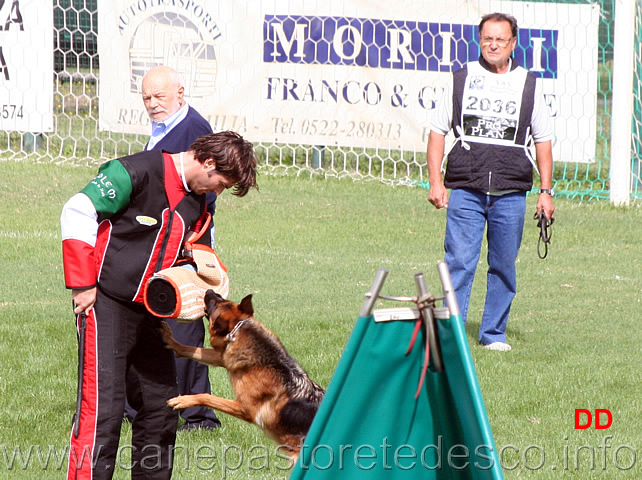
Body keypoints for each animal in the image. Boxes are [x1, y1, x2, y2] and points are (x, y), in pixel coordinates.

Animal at [158, 288, 322, 458]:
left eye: (216, 303)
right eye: (223, 299)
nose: (210, 290)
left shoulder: (244, 409)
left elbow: (207, 397)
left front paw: (182, 400)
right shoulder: (221, 357)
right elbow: (189, 349)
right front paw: (171, 340)